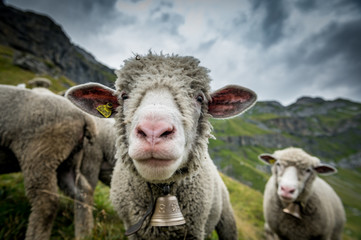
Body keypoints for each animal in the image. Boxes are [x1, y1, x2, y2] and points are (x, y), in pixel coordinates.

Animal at [0, 85, 116, 240]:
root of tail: (84, 117)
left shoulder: (92, 160)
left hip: (41, 154)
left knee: (47, 202)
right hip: (67, 160)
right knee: (83, 193)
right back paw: (84, 234)